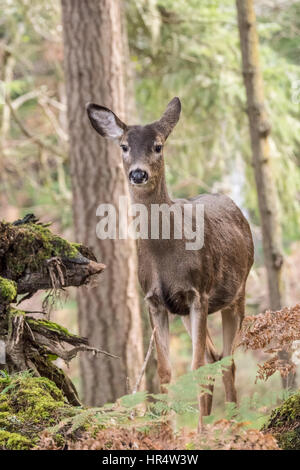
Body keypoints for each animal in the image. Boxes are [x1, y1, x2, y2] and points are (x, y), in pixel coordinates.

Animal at [86, 98, 253, 430]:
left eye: (158, 146)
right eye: (124, 146)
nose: (138, 174)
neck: (165, 254)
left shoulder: (198, 293)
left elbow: (195, 365)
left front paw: (199, 432)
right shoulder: (153, 300)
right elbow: (165, 372)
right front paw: (168, 431)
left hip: (237, 292)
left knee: (227, 360)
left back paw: (232, 424)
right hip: (188, 313)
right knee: (215, 356)